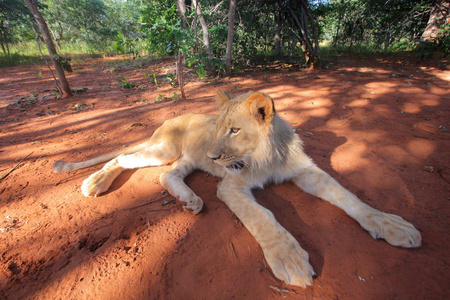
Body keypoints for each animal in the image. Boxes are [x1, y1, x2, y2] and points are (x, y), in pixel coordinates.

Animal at [53, 90, 422, 288]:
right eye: (217, 127)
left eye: (234, 130)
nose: (214, 156)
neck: (266, 154)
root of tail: (166, 121)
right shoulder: (231, 186)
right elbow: (262, 217)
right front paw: (288, 257)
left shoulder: (307, 173)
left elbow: (349, 196)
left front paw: (392, 224)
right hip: (164, 149)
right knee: (123, 157)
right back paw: (95, 182)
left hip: (186, 159)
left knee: (168, 176)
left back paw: (190, 200)